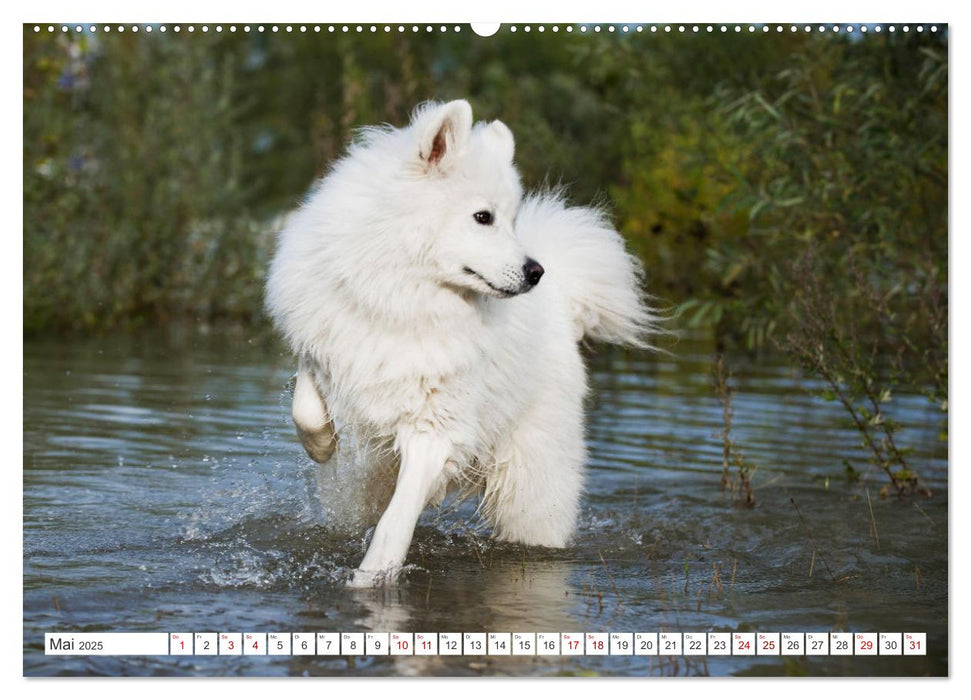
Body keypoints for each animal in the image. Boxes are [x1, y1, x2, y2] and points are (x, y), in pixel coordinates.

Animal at [266, 101, 652, 588]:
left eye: (510, 220)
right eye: (483, 217)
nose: (535, 271)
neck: (404, 300)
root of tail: (564, 297)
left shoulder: (435, 430)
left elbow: (395, 522)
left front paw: (369, 582)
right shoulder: (326, 349)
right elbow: (306, 407)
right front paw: (321, 446)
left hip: (530, 492)